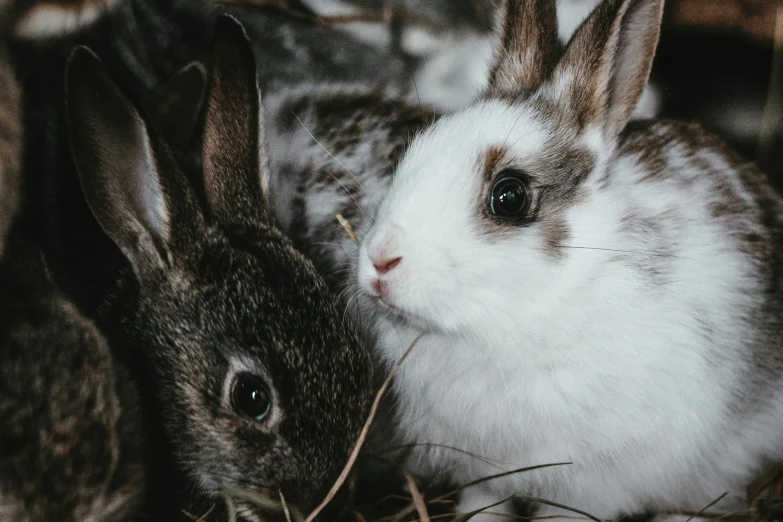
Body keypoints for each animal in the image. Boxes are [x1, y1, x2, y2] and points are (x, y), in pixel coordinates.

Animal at [352, 0, 783, 516]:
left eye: (510, 196)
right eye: (412, 150)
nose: (380, 261)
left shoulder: (590, 486)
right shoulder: (482, 471)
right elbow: (484, 504)